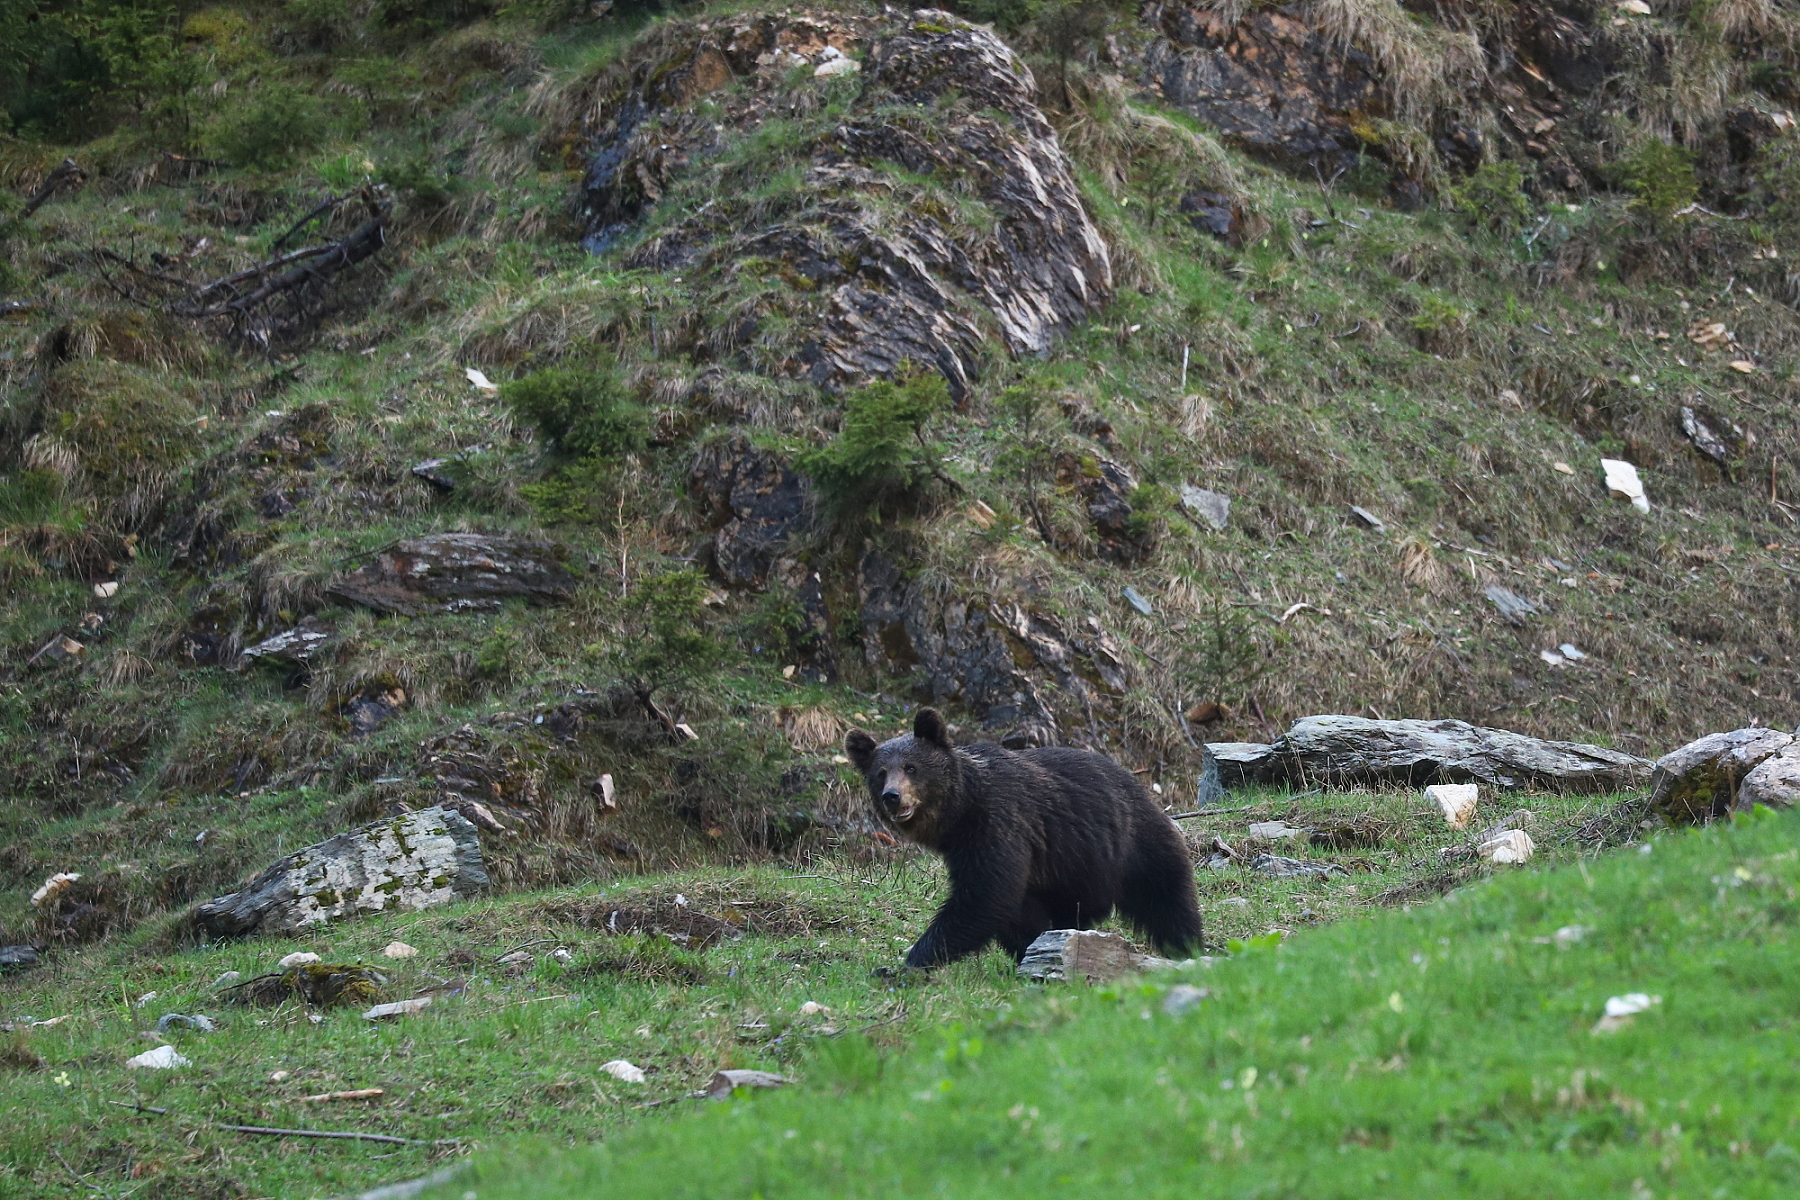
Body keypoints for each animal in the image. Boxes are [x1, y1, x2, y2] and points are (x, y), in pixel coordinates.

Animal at [846, 708, 1209, 971]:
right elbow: (1011, 909)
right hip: (1077, 871)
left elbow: (983, 898)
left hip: (1133, 845)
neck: (961, 813)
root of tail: (1137, 782)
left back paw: (1186, 945)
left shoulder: (1000, 825)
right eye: (880, 773)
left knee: (1167, 897)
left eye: (911, 767)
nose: (892, 797)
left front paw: (909, 963)